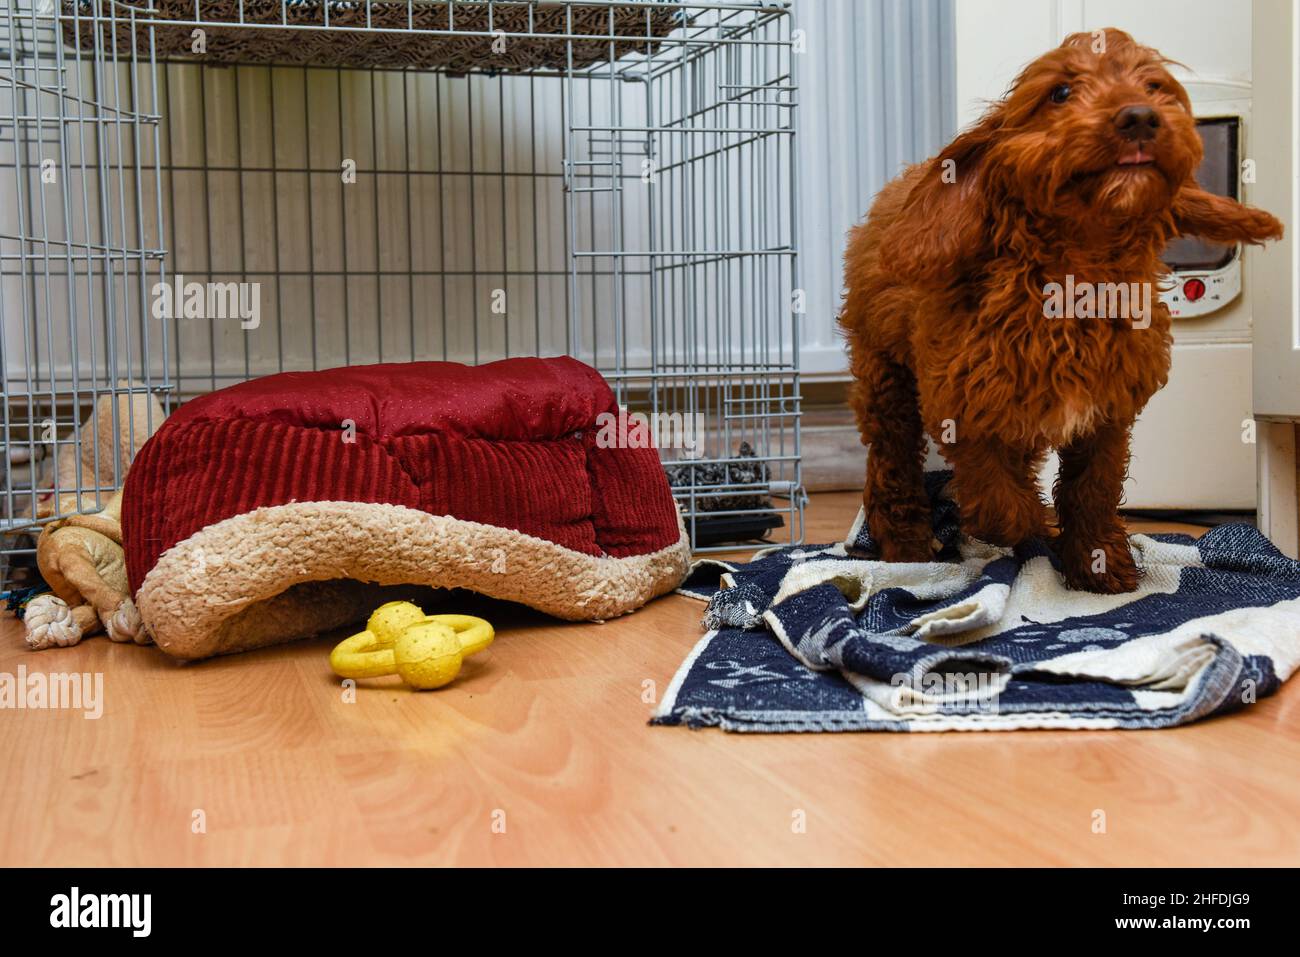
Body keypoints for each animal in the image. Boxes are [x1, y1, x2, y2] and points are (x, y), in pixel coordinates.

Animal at [842, 29, 1279, 590]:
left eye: (1154, 86)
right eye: (1061, 93)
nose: (1140, 117)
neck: (1077, 278)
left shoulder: (1107, 414)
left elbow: (1091, 490)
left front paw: (1099, 564)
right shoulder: (963, 405)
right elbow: (998, 499)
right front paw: (1033, 529)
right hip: (887, 381)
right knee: (891, 468)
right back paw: (907, 549)